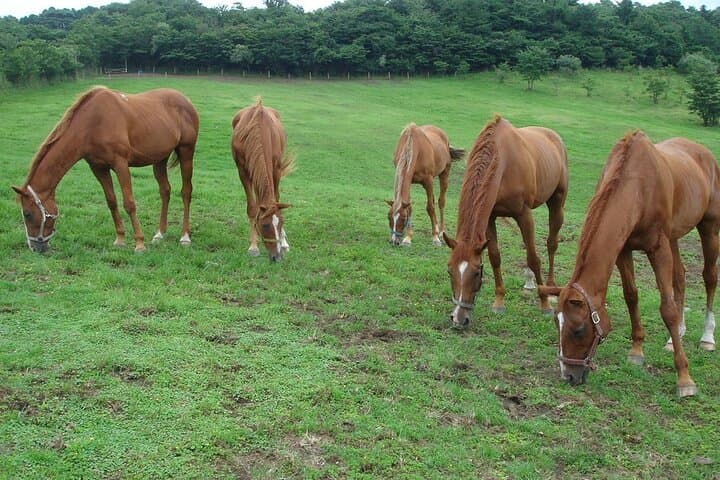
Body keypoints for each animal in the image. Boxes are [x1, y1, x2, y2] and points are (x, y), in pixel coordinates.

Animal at [12, 86, 199, 253]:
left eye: (27, 214)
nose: (34, 247)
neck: (93, 123)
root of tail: (186, 100)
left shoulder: (121, 164)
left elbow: (129, 203)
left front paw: (139, 244)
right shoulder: (98, 168)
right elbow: (111, 201)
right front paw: (120, 240)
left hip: (186, 152)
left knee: (186, 192)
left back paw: (185, 237)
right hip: (159, 160)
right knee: (165, 191)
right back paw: (159, 234)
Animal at [231, 99, 294, 262]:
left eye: (281, 223)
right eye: (265, 225)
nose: (277, 257)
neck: (259, 131)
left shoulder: (275, 169)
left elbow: (276, 199)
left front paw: (283, 242)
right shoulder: (243, 171)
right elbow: (252, 208)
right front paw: (253, 246)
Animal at [443, 115, 568, 327]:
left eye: (476, 273)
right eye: (450, 271)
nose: (459, 319)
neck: (503, 163)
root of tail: (554, 136)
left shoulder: (524, 214)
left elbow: (534, 258)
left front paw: (544, 304)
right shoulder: (489, 218)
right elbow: (495, 257)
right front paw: (499, 301)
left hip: (556, 202)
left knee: (551, 244)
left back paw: (550, 289)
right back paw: (529, 280)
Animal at [540, 131, 719, 397]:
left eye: (578, 330)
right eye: (556, 323)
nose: (568, 376)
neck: (637, 187)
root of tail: (704, 153)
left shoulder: (658, 249)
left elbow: (667, 309)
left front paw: (684, 379)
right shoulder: (623, 249)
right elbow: (631, 295)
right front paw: (636, 351)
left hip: (709, 228)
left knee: (709, 278)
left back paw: (707, 337)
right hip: (674, 236)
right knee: (680, 277)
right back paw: (675, 337)